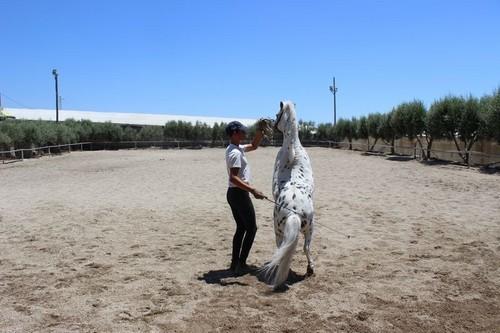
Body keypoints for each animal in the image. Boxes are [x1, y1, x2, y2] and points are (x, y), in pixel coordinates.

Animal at [260, 100, 314, 286]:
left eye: (277, 115)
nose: (267, 121)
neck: (294, 152)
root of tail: (294, 213)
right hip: (310, 229)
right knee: (306, 248)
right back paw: (310, 270)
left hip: (278, 231)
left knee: (280, 248)